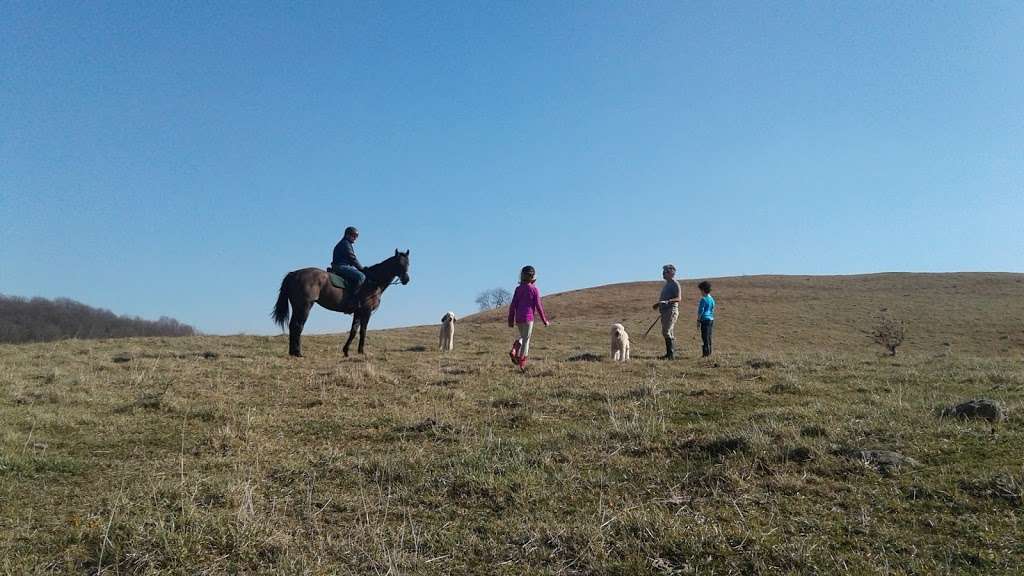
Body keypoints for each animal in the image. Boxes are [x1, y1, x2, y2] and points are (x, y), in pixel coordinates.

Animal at [278, 250, 413, 356]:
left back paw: (292, 352)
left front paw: (346, 351)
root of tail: (294, 274)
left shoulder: (358, 312)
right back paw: (298, 352)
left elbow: (353, 331)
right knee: (298, 326)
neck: (373, 282)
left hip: (297, 307)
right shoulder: (366, 311)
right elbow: (363, 331)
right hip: (304, 306)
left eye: (408, 263)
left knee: (292, 325)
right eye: (399, 263)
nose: (406, 279)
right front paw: (361, 351)